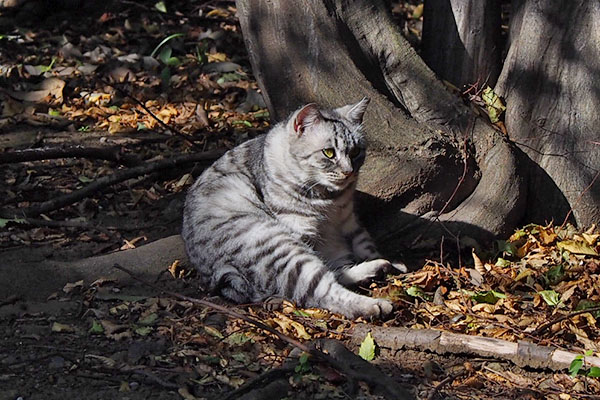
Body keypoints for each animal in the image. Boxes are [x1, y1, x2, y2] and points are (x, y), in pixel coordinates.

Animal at [183, 98, 406, 318]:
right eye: (329, 153)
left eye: (356, 152)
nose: (348, 172)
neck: (329, 199)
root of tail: (221, 273)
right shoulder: (301, 230)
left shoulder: (349, 221)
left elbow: (365, 245)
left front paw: (386, 262)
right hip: (282, 248)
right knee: (323, 291)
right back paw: (375, 304)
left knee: (336, 274)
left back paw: (378, 267)